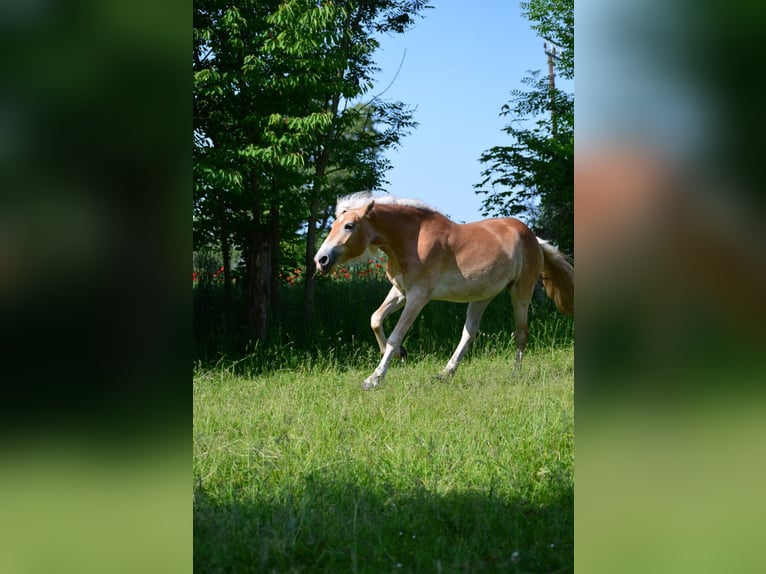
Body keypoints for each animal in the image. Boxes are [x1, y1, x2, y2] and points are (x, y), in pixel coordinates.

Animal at [314, 194, 576, 392]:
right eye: (333, 225)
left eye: (349, 225)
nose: (321, 260)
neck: (412, 239)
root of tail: (534, 238)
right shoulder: (400, 291)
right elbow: (375, 319)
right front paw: (400, 354)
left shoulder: (418, 297)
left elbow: (395, 336)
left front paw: (374, 379)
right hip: (482, 296)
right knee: (469, 333)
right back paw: (446, 372)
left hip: (521, 292)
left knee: (521, 333)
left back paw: (515, 373)